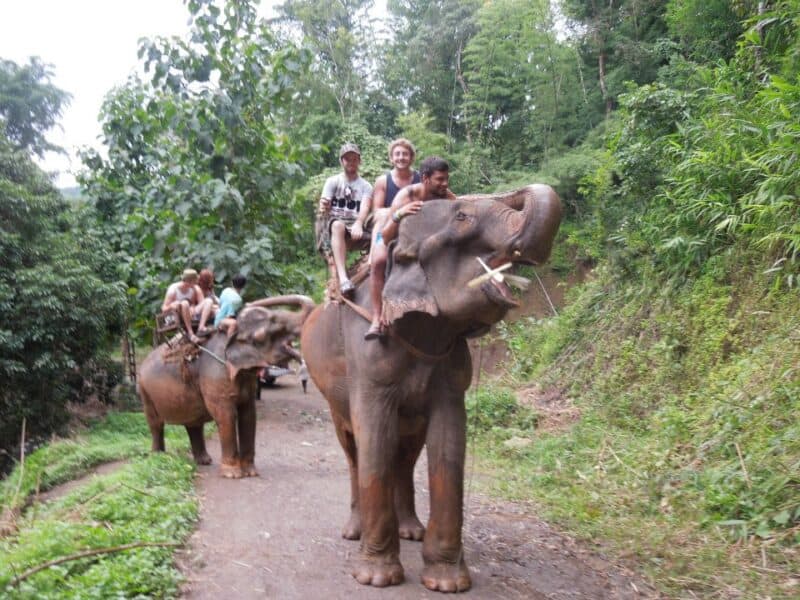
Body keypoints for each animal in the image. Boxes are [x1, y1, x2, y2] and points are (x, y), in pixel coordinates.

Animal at [139, 294, 314, 478]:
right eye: (263, 335)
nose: (247, 303)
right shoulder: (215, 374)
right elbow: (226, 416)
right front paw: (233, 475)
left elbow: (249, 416)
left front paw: (251, 473)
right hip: (144, 390)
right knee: (155, 423)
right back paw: (158, 456)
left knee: (193, 423)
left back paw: (204, 461)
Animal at [302, 185, 564, 592]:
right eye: (462, 217)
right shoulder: (366, 355)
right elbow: (373, 438)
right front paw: (377, 578)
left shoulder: (452, 366)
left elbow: (449, 442)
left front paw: (447, 583)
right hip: (332, 395)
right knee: (353, 450)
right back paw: (355, 532)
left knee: (406, 453)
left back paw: (411, 530)